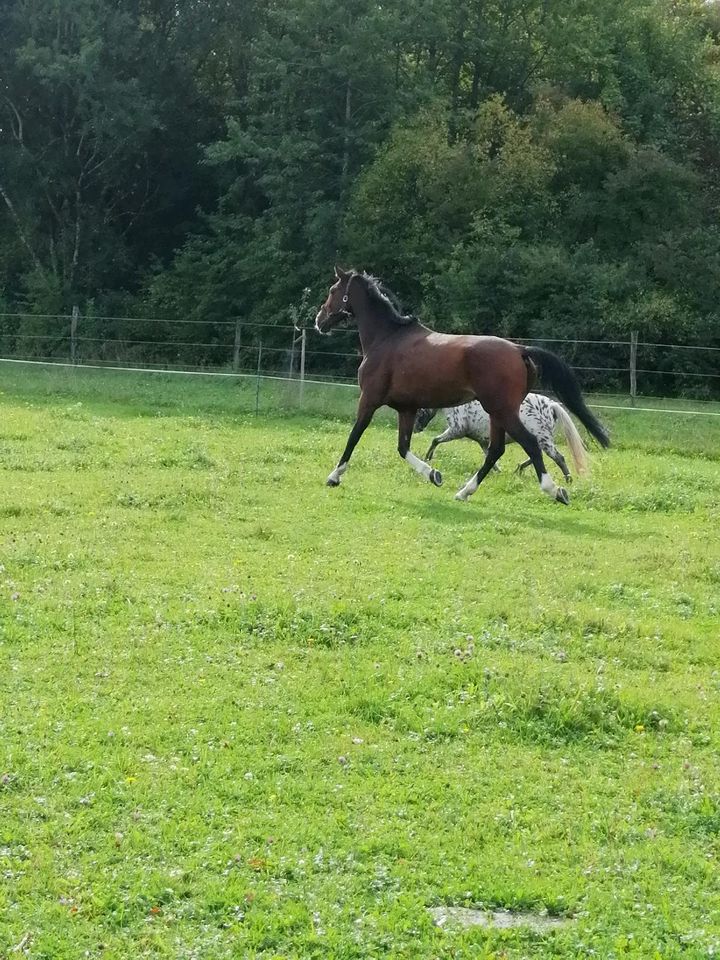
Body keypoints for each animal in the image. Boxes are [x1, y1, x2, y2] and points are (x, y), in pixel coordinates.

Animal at [314, 262, 608, 502]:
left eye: (332, 290)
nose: (319, 321)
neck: (387, 339)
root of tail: (519, 350)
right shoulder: (407, 409)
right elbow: (403, 448)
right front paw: (433, 474)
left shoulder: (370, 399)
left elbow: (354, 436)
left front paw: (334, 476)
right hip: (498, 414)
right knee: (496, 450)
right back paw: (465, 491)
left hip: (502, 411)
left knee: (530, 445)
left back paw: (554, 490)